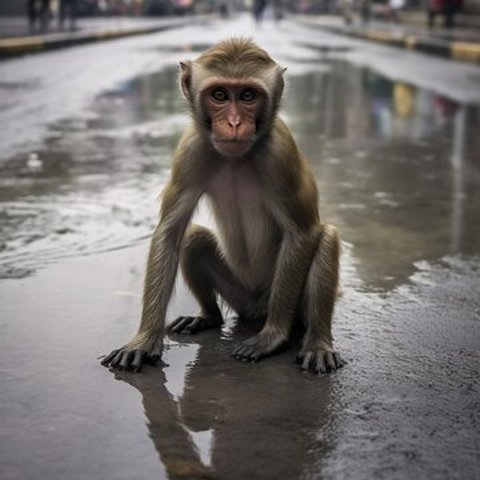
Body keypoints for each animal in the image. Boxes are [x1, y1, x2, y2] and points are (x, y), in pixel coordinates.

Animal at [100, 37, 344, 376]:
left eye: (247, 96)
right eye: (218, 95)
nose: (234, 122)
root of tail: (257, 308)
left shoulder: (279, 153)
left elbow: (302, 233)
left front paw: (272, 337)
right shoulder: (191, 149)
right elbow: (170, 232)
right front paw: (144, 341)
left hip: (282, 303)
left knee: (326, 237)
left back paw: (317, 341)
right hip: (239, 296)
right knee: (194, 239)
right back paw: (208, 316)